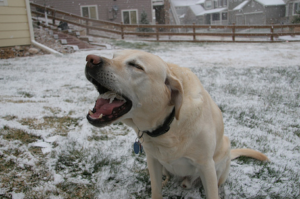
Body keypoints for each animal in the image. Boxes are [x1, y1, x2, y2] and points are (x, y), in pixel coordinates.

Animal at [85, 49, 270, 199]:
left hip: (222, 153)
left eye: (136, 66)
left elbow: (212, 194)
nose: (90, 59)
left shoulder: (206, 166)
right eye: (114, 56)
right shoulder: (152, 159)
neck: (168, 127)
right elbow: (156, 190)